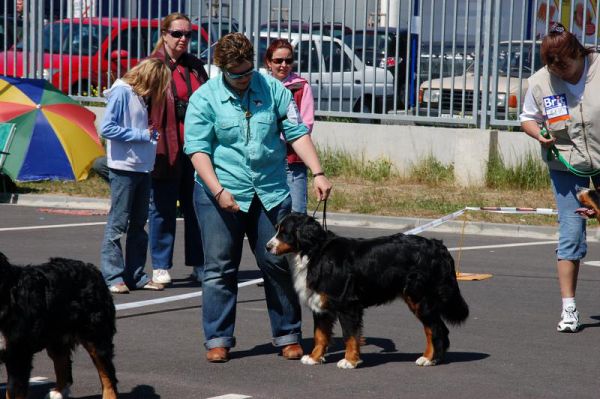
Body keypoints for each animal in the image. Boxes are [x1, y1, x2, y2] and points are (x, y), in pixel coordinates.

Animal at [0, 253, 118, 399]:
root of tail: (91, 268)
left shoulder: (18, 353)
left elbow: (13, 391)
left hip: (95, 337)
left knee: (107, 373)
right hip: (56, 338)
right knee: (63, 363)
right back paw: (58, 392)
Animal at [268, 214, 468, 370]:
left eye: (284, 232)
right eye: (277, 229)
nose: (267, 247)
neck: (315, 253)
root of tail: (438, 246)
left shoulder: (348, 305)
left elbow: (349, 335)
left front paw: (350, 361)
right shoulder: (321, 305)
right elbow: (320, 335)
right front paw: (314, 357)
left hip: (420, 298)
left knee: (434, 329)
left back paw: (428, 358)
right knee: (438, 329)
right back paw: (435, 358)